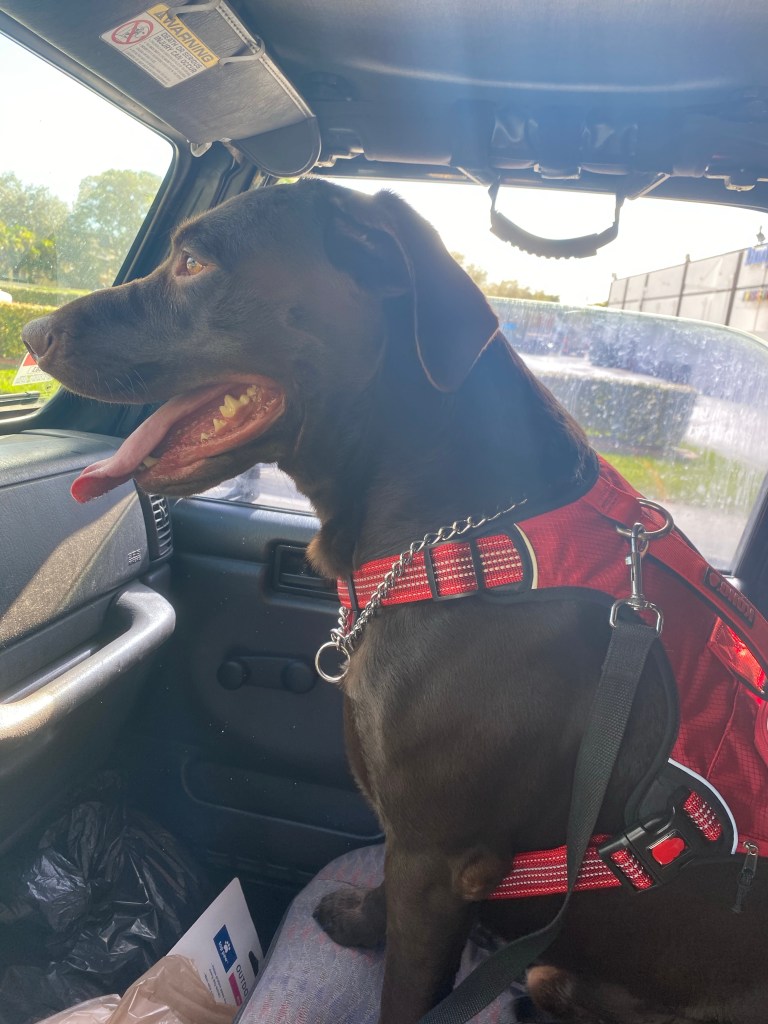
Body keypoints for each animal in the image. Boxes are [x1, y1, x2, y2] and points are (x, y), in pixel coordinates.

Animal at [23, 179, 768, 1023]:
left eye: (191, 262)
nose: (32, 331)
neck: (470, 535)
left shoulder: (441, 858)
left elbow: (408, 985)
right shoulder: (406, 841)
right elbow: (384, 884)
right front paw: (359, 919)